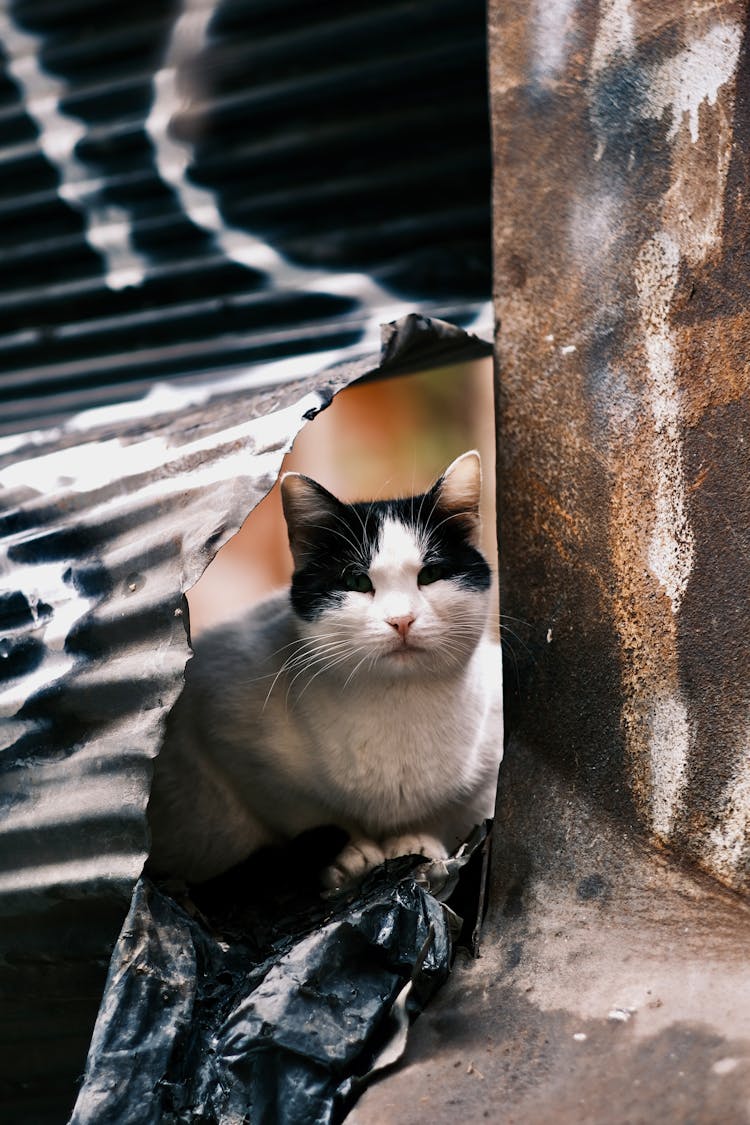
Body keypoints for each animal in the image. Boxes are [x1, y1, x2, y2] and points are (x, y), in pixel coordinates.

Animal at [146, 452, 501, 891]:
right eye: (357, 581)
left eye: (430, 575)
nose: (401, 620)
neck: (398, 704)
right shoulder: (225, 724)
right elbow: (303, 810)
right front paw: (351, 853)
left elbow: (454, 812)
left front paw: (420, 843)